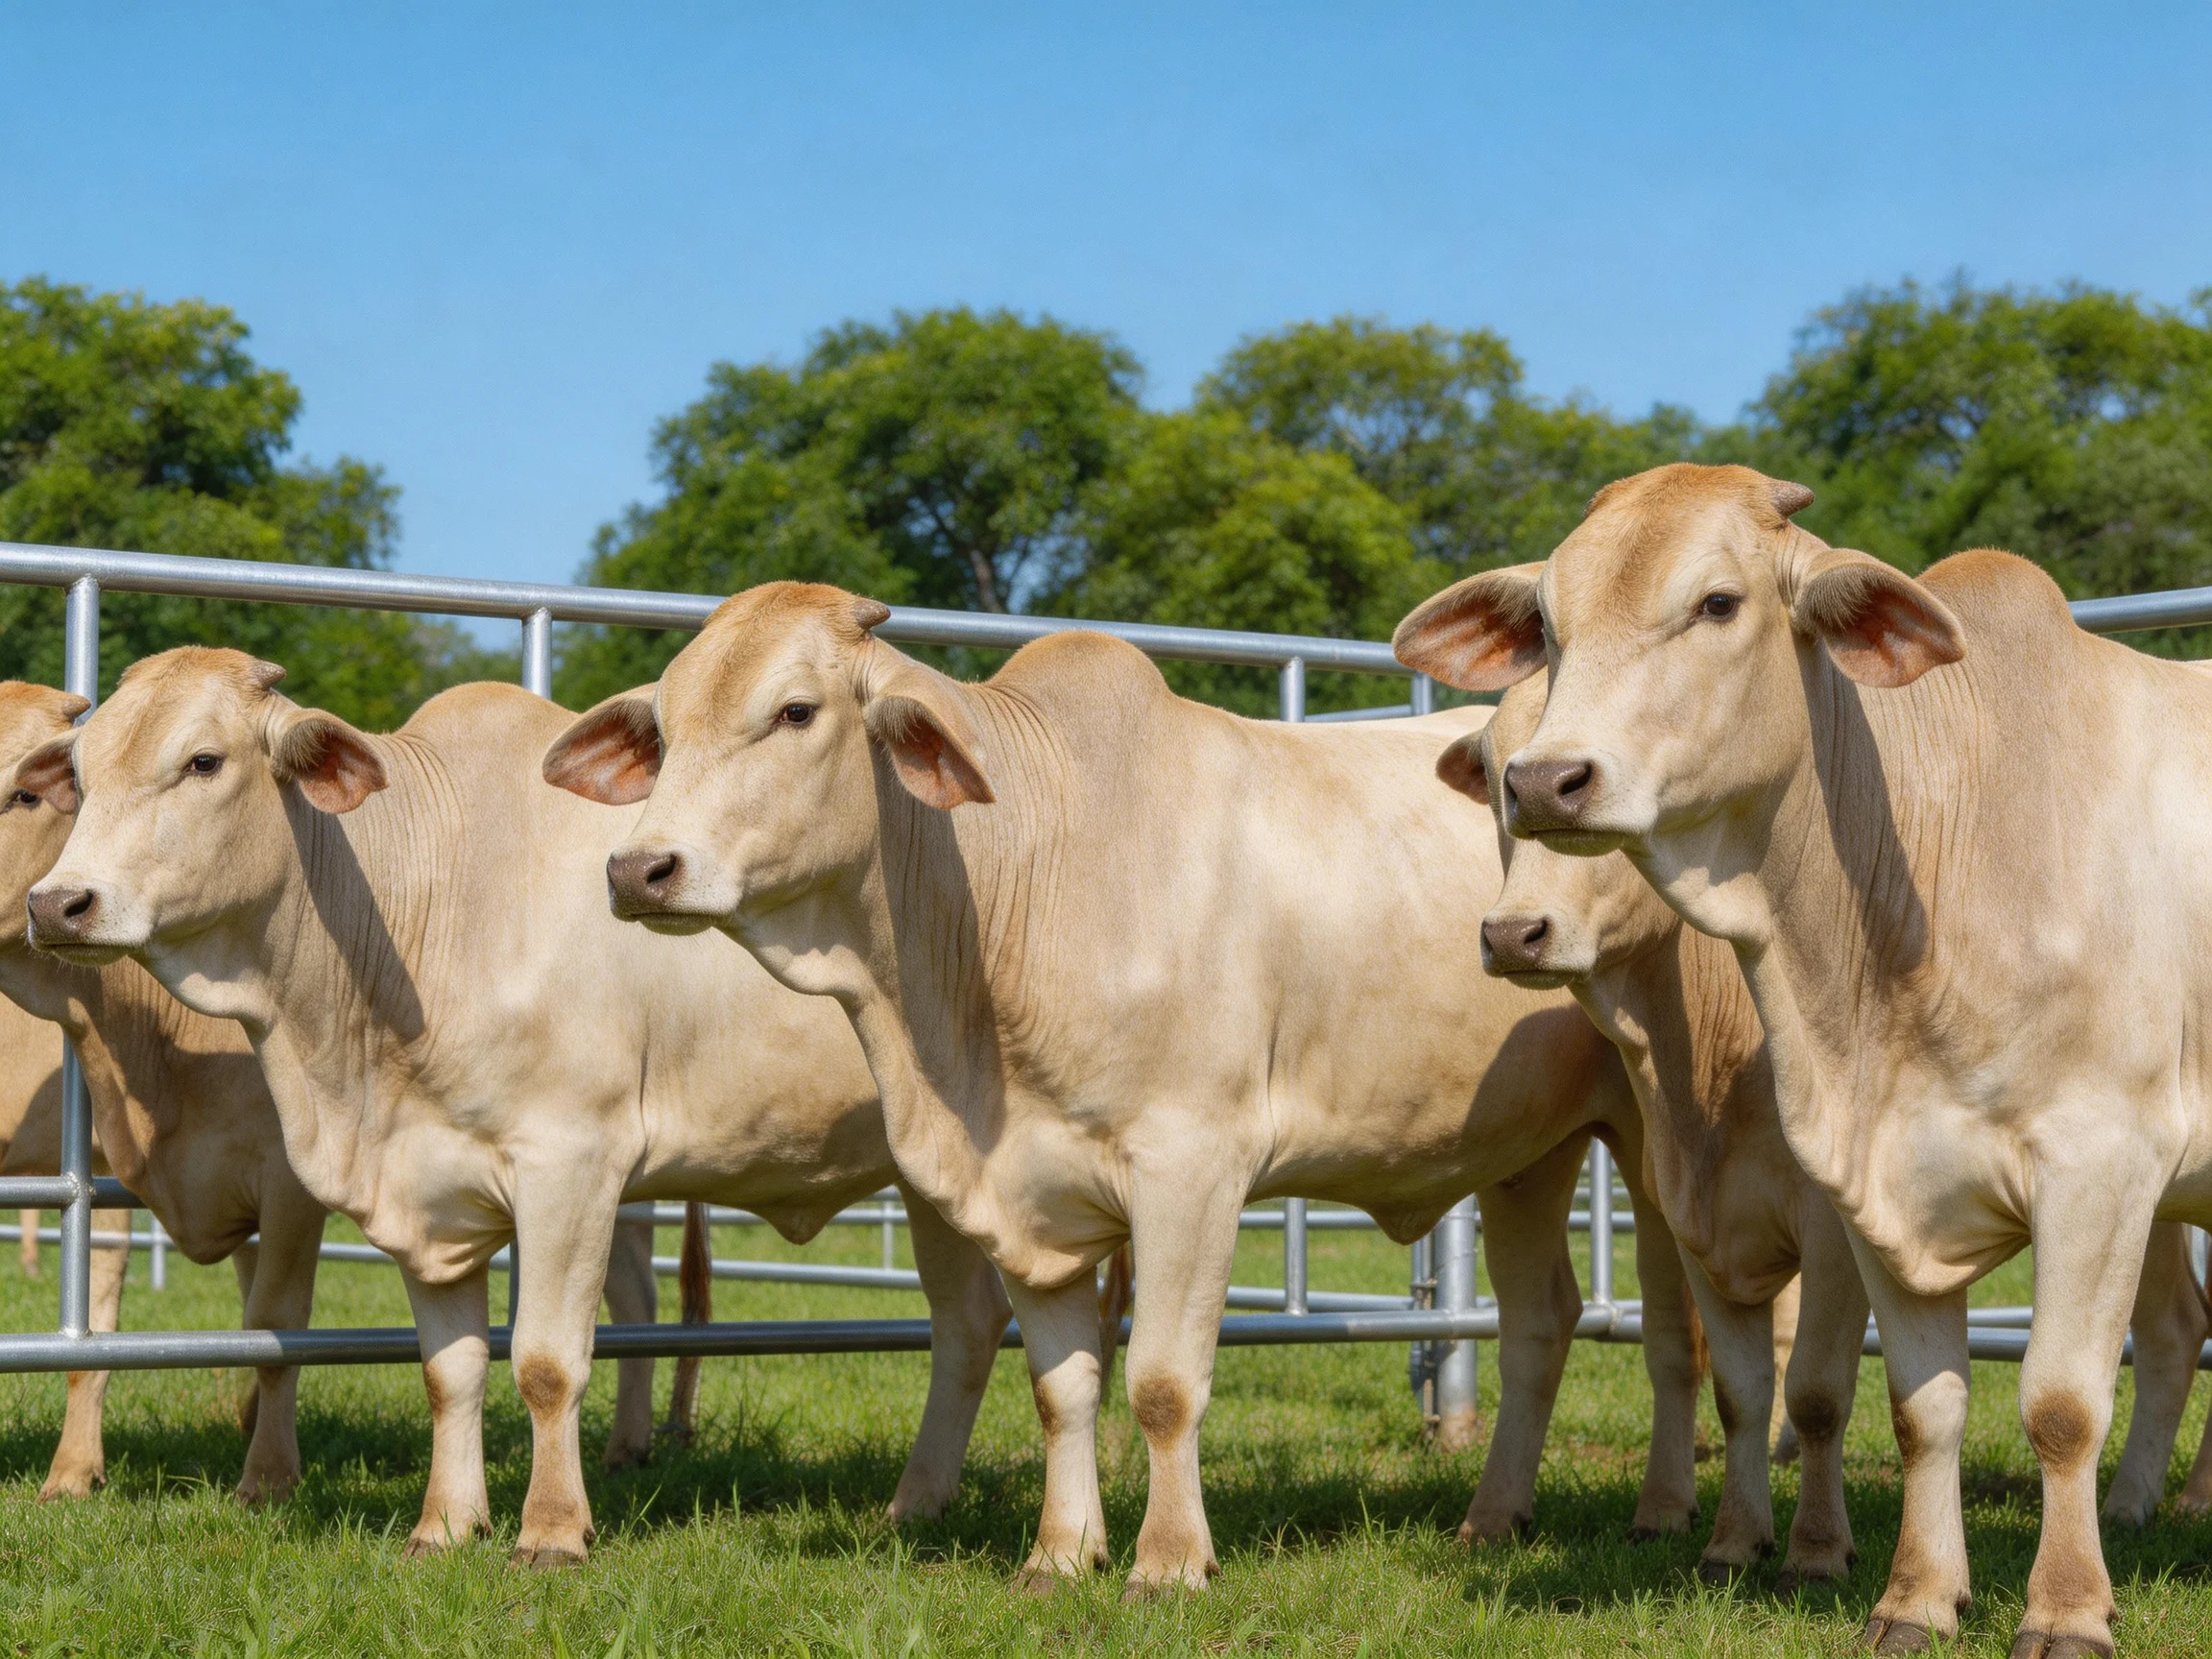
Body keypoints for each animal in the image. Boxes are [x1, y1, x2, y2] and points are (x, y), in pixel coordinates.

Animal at [18, 651, 1012, 1564]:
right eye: (83, 775)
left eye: (204, 761)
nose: (59, 903)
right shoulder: (423, 1180)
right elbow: (450, 1369)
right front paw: (446, 1524)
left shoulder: (569, 1164)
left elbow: (544, 1361)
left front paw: (552, 1531)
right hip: (932, 1179)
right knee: (968, 1324)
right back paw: (916, 1505)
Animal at [537, 580, 1711, 1595]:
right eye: (665, 728)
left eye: (793, 711)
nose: (638, 869)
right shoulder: (1025, 1195)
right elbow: (1064, 1387)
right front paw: (1061, 1554)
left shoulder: (1191, 1168)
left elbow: (1161, 1382)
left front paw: (1168, 1562)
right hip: (1529, 1152)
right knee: (1541, 1323)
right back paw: (1491, 1518)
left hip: (1657, 1145)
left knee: (1674, 1326)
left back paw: (1665, 1513)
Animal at [1392, 460, 2212, 1656]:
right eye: (1546, 620)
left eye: (1719, 603)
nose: (1548, 781)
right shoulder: (1875, 1185)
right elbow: (1921, 1407)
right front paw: (1917, 1598)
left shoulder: (2097, 1167)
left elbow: (2057, 1404)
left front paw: (2065, 1611)